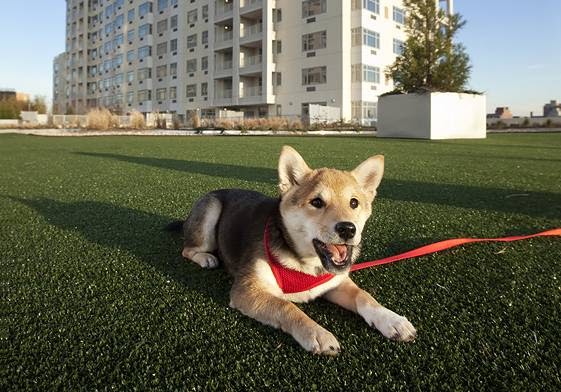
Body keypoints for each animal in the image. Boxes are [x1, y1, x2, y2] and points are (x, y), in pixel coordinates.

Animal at [168, 145, 418, 354]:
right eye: (317, 202)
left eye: (354, 203)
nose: (348, 228)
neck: (306, 264)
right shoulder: (247, 290)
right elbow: (286, 306)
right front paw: (317, 333)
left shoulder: (334, 283)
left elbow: (363, 296)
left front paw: (391, 319)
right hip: (210, 210)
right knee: (187, 249)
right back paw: (206, 258)